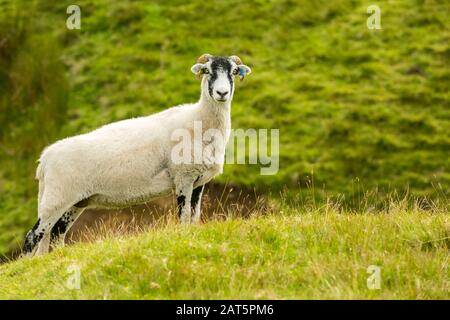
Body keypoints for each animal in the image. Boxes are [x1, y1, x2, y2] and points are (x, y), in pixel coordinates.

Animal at [21, 53, 251, 256]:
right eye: (207, 71)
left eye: (233, 71)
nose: (222, 93)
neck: (199, 121)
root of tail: (44, 159)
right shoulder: (183, 177)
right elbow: (184, 217)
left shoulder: (198, 180)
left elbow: (194, 218)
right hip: (56, 197)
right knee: (33, 236)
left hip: (75, 201)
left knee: (56, 234)